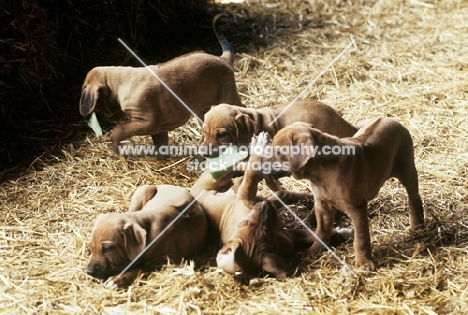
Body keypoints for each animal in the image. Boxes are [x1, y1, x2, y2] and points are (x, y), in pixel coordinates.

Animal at [266, 118, 424, 272]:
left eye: (278, 152)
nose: (263, 163)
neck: (320, 172)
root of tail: (392, 119)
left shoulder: (356, 208)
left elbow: (361, 238)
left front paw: (363, 263)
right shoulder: (322, 205)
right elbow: (321, 231)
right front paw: (314, 251)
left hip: (407, 170)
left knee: (414, 197)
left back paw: (417, 226)